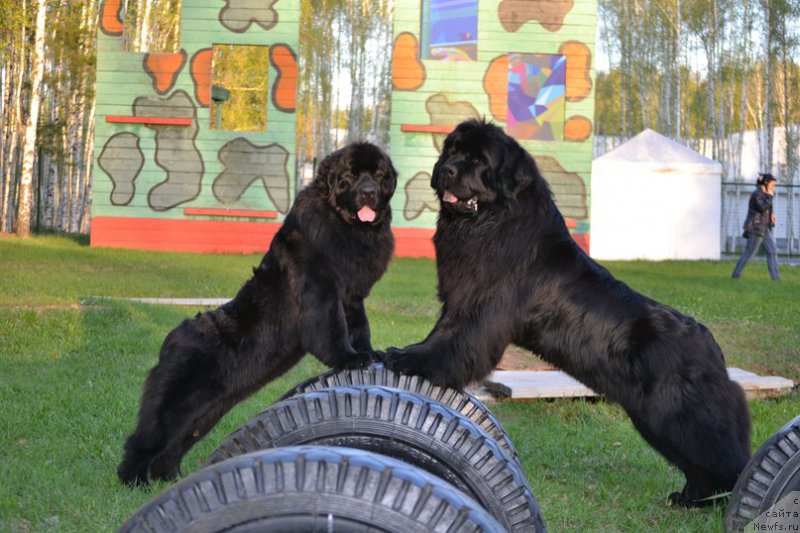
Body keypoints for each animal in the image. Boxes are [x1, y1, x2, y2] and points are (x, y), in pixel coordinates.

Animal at [118, 143, 396, 484]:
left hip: (205, 413)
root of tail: (170, 340)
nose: (369, 192)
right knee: (144, 440)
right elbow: (334, 330)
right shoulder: (322, 292)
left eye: (379, 176)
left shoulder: (353, 296)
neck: (346, 227)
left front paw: (369, 352)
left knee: (173, 445)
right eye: (351, 176)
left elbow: (359, 326)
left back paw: (169, 478)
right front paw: (350, 358)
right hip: (176, 406)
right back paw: (133, 481)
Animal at [388, 120, 752, 508]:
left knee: (725, 459)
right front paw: (409, 352)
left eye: (478, 160)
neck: (491, 221)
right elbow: (441, 332)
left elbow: (451, 341)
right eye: (451, 150)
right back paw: (689, 500)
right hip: (658, 420)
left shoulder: (477, 313)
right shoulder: (459, 303)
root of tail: (712, 346)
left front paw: (411, 360)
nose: (446, 169)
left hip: (682, 416)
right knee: (700, 465)